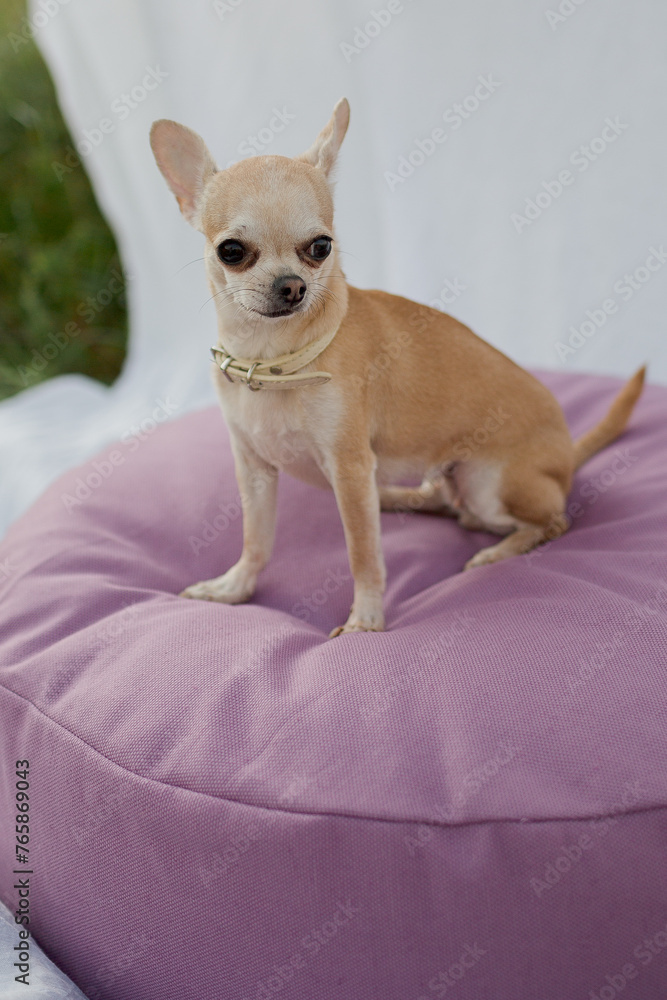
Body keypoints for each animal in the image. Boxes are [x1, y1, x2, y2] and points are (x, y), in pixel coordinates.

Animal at [153, 99, 648, 632]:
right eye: (232, 251)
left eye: (321, 247)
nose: (292, 286)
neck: (272, 362)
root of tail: (568, 456)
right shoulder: (255, 470)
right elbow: (256, 540)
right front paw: (234, 586)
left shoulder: (349, 468)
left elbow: (363, 554)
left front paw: (365, 620)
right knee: (448, 503)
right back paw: (398, 497)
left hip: (488, 483)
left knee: (552, 520)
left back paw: (496, 552)